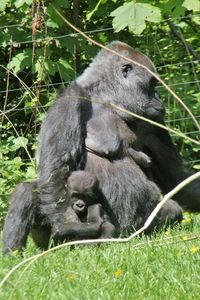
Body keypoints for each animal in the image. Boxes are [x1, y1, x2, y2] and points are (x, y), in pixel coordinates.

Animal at [1, 41, 198, 253]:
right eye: (152, 84)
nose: (159, 98)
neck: (108, 99)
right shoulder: (70, 98)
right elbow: (57, 171)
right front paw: (70, 230)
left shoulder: (153, 120)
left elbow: (174, 177)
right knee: (27, 191)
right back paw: (13, 255)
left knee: (170, 211)